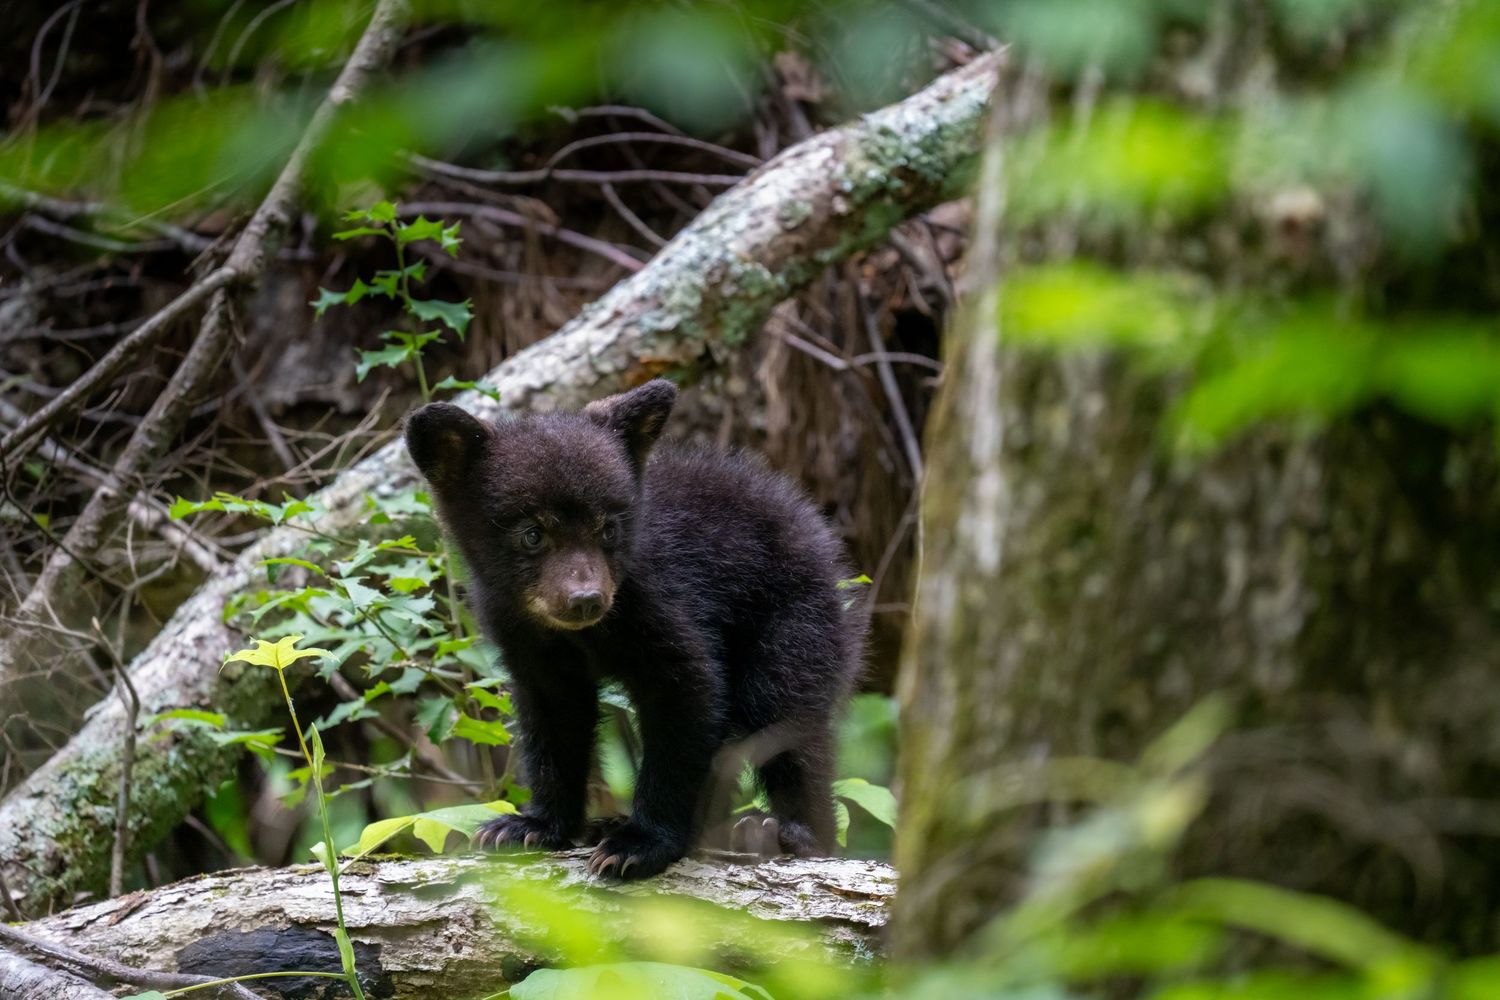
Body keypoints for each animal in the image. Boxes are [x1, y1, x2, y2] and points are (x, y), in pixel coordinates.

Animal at [404, 379, 864, 879]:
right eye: (532, 533)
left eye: (607, 528)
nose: (585, 599)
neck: (584, 632)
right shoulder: (524, 637)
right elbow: (555, 719)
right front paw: (531, 826)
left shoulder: (661, 602)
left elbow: (688, 698)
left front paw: (640, 844)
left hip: (794, 623)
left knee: (786, 720)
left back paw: (788, 833)